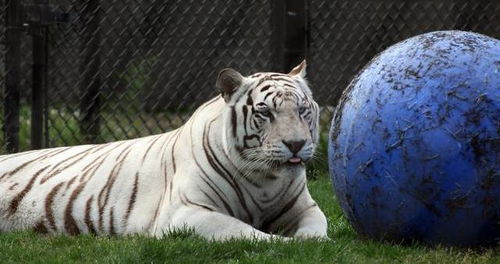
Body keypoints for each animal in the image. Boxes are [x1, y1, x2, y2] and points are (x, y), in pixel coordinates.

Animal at [0, 60, 328, 240]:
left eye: (302, 109)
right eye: (265, 112)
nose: (296, 144)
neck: (265, 180)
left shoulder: (305, 208)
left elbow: (317, 231)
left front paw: (308, 241)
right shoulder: (186, 213)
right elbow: (250, 235)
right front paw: (286, 243)